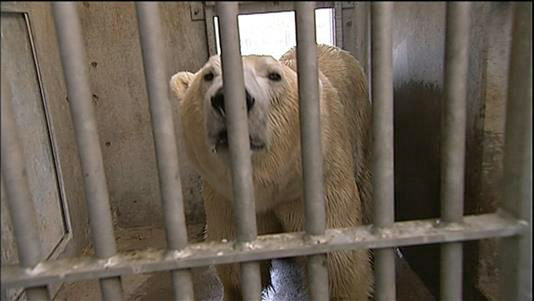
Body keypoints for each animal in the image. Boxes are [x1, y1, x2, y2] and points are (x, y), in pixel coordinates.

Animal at [171, 43, 372, 298]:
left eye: (275, 75)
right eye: (208, 75)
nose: (227, 99)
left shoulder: (321, 184)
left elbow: (340, 266)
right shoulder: (226, 198)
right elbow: (236, 270)